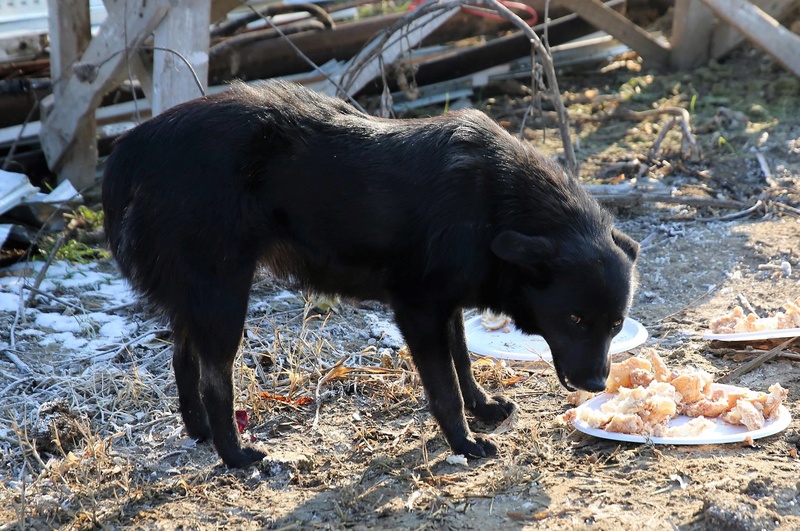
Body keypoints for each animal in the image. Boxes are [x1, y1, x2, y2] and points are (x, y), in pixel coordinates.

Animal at [101, 80, 636, 470]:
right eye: (574, 320)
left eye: (614, 326)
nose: (596, 383)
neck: (492, 202)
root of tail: (137, 144)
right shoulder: (418, 311)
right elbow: (444, 387)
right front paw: (463, 443)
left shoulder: (446, 307)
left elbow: (463, 364)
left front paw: (482, 409)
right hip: (224, 294)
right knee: (215, 378)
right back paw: (233, 454)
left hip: (199, 294)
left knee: (181, 358)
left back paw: (200, 433)